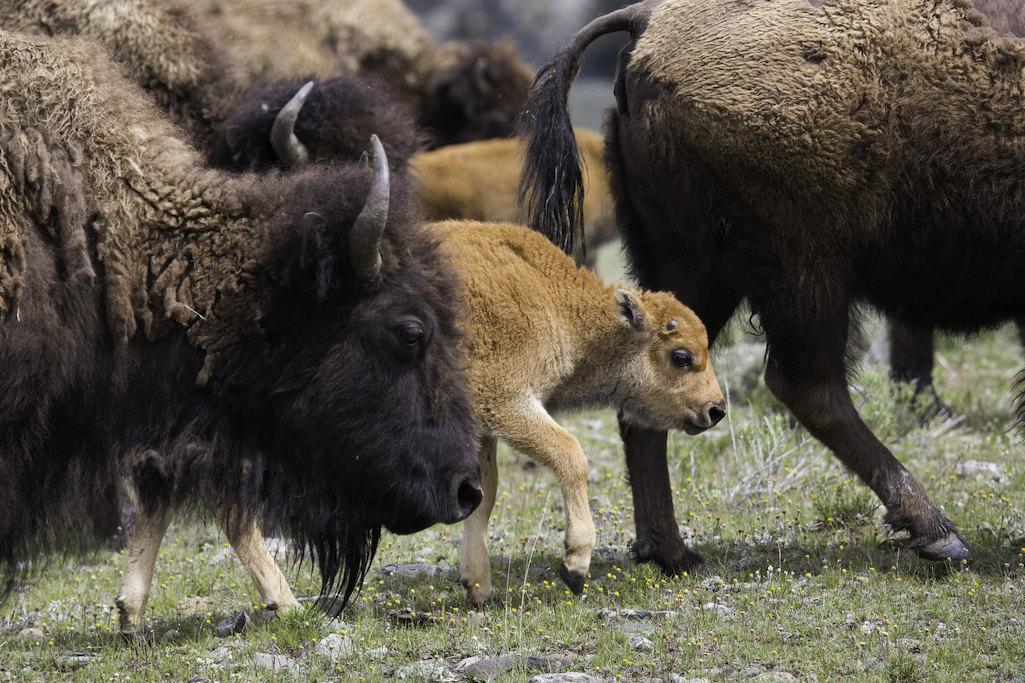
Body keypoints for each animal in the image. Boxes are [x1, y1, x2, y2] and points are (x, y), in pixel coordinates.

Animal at [520, 0, 1025, 566]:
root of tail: (646, 19)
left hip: (702, 271)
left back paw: (672, 553)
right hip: (804, 269)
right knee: (809, 385)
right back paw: (939, 533)